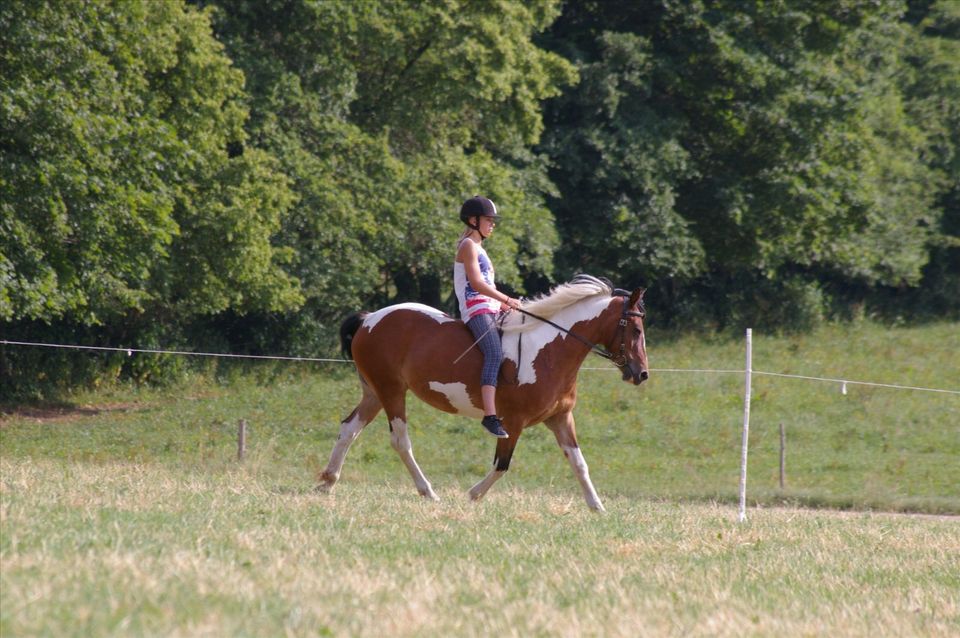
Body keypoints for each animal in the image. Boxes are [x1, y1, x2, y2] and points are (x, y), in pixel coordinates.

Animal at [318, 276, 648, 516]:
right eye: (635, 329)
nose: (642, 373)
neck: (550, 350)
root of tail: (369, 318)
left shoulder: (560, 418)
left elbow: (579, 463)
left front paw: (597, 507)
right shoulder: (512, 422)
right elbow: (502, 464)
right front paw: (473, 494)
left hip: (375, 392)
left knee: (349, 429)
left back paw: (327, 482)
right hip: (391, 390)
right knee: (400, 441)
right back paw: (428, 492)